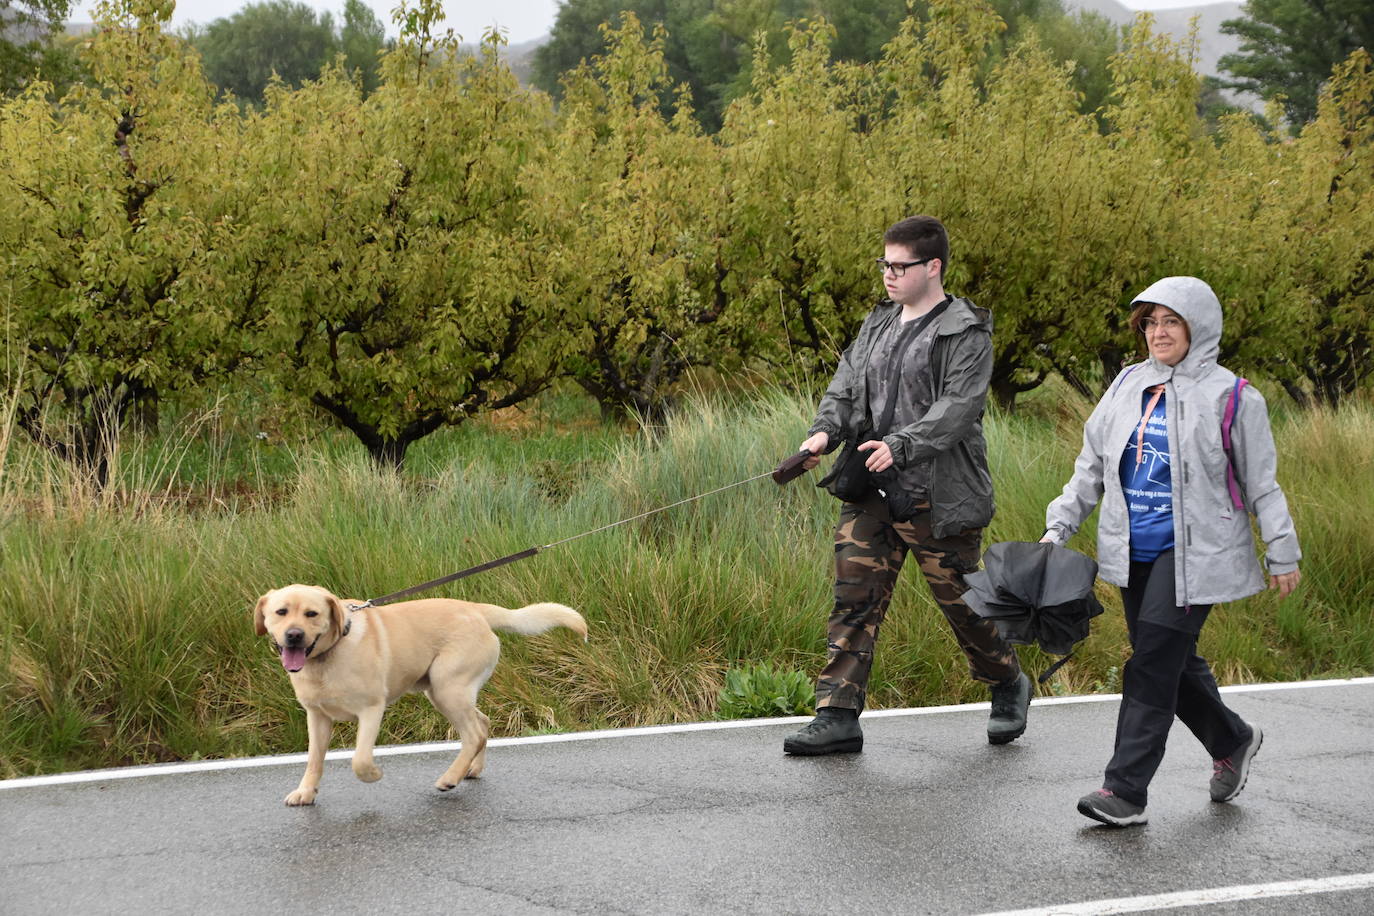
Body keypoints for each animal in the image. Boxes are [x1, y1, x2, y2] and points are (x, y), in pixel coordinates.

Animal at [252, 585, 585, 807]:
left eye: (312, 613)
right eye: (281, 612)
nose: (294, 635)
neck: (328, 655)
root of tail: (476, 609)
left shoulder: (371, 709)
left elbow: (360, 759)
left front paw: (374, 774)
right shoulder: (317, 716)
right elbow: (314, 760)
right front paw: (306, 792)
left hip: (446, 688)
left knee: (474, 733)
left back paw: (450, 777)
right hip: (446, 692)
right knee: (483, 723)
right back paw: (472, 769)